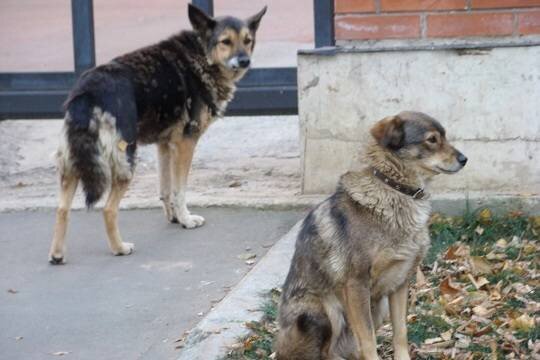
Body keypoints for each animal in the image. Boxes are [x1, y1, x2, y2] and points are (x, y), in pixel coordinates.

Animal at [48, 3, 266, 264]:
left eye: (247, 40)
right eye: (225, 41)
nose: (244, 60)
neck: (201, 55)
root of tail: (87, 93)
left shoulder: (164, 146)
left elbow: (165, 189)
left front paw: (174, 218)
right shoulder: (185, 144)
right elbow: (179, 190)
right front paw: (186, 220)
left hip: (72, 165)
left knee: (62, 209)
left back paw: (57, 254)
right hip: (125, 161)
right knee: (109, 209)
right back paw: (119, 248)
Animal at [276, 111, 466, 358]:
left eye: (444, 136)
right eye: (432, 139)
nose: (464, 159)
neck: (394, 189)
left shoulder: (399, 282)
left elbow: (400, 332)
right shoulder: (356, 285)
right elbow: (368, 340)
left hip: (378, 306)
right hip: (322, 310)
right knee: (326, 352)